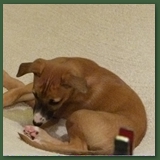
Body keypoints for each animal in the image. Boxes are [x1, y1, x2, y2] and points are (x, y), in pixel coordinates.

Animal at [4, 57, 148, 155]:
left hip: (79, 115)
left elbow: (18, 87)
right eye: (36, 94)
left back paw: (38, 134)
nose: (36, 122)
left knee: (76, 147)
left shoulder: (56, 113)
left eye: (55, 102)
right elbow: (16, 87)